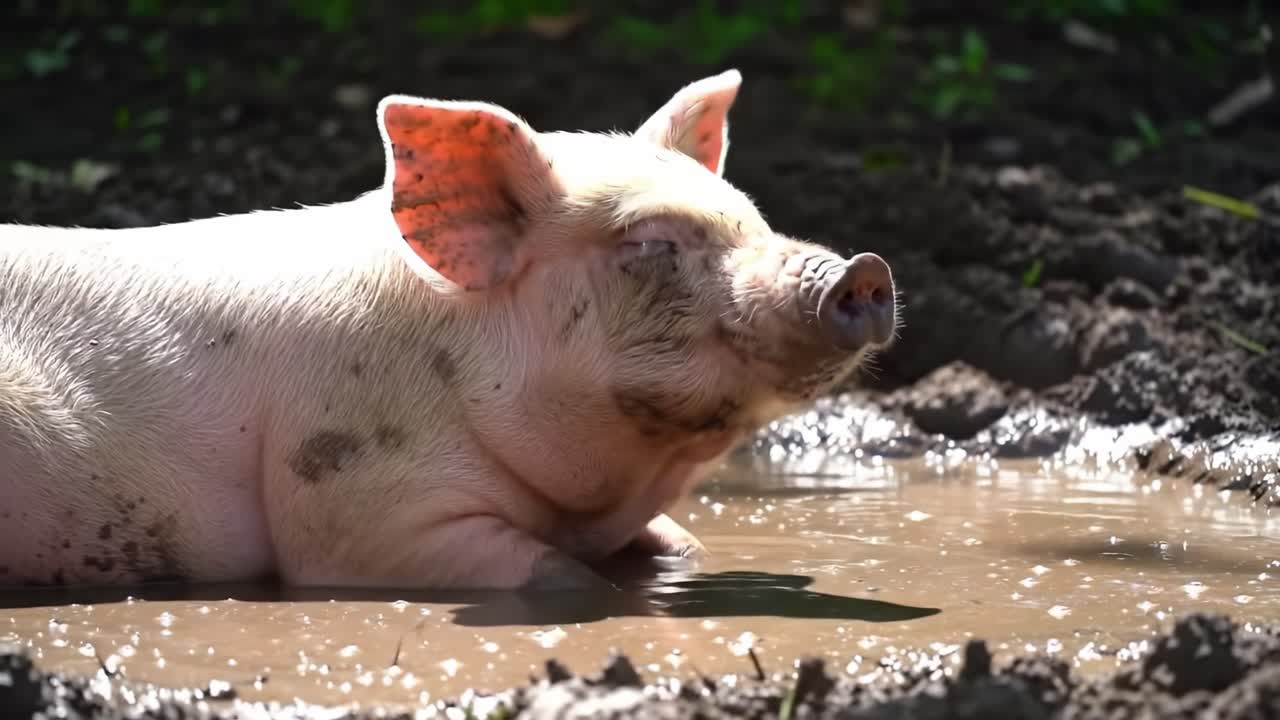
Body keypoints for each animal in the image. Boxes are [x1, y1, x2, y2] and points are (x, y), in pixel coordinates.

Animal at [0, 70, 898, 591]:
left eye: (752, 219)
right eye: (649, 243)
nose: (860, 267)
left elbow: (683, 550)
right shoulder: (353, 503)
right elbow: (559, 581)